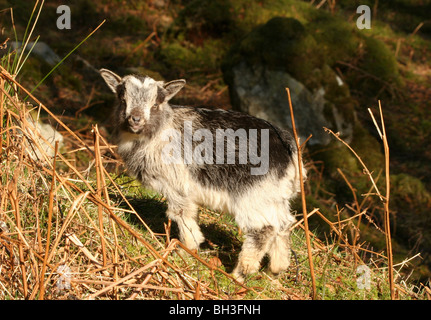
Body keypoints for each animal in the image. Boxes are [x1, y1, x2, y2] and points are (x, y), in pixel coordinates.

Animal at [99, 69, 306, 282]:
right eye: (122, 99)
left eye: (155, 104)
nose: (135, 120)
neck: (159, 132)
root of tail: (290, 151)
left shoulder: (177, 185)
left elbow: (181, 214)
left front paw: (186, 249)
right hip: (273, 195)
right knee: (283, 225)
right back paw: (275, 269)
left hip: (252, 196)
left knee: (264, 229)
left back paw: (238, 274)